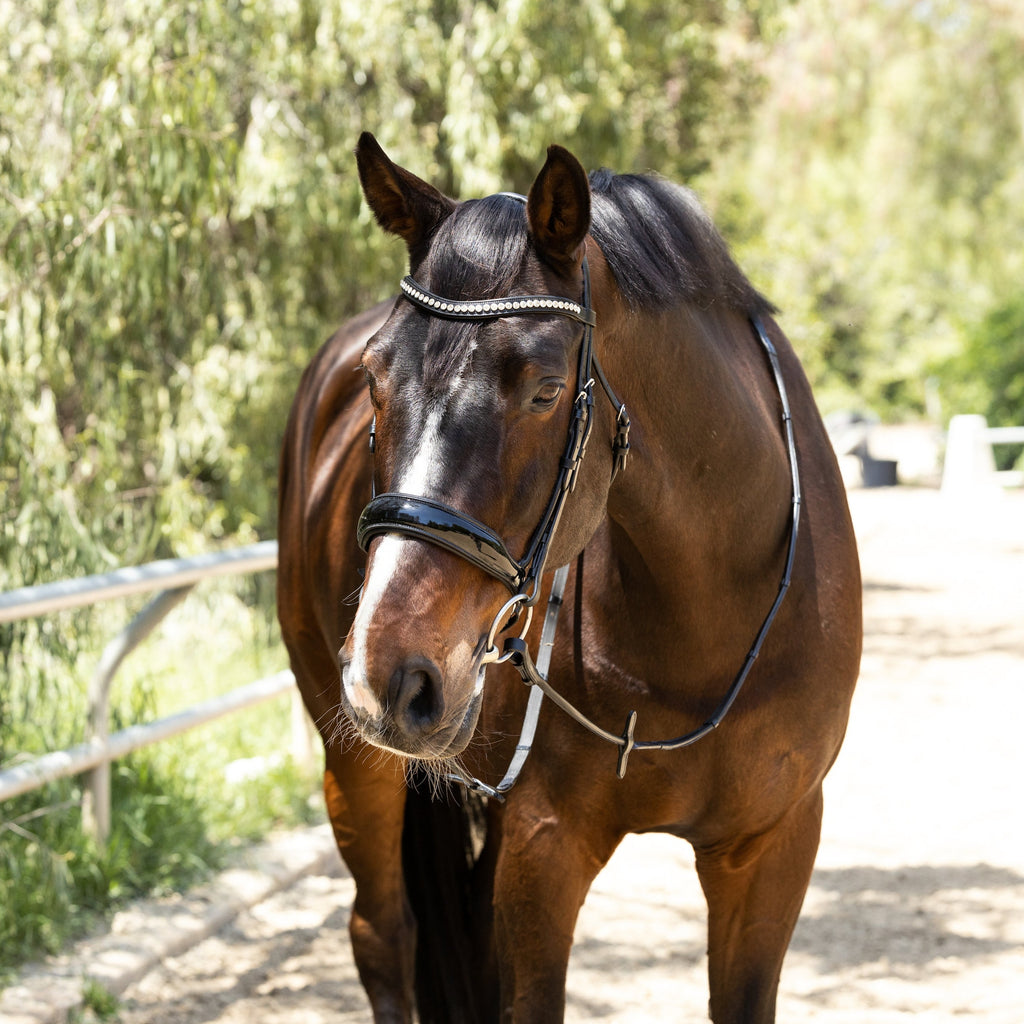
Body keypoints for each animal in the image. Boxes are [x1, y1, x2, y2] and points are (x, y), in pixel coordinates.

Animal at [276, 132, 861, 1023]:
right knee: (383, 935)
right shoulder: (543, 850)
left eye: (547, 390)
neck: (706, 616)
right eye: (375, 379)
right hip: (357, 759)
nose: (388, 674)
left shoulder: (773, 846)